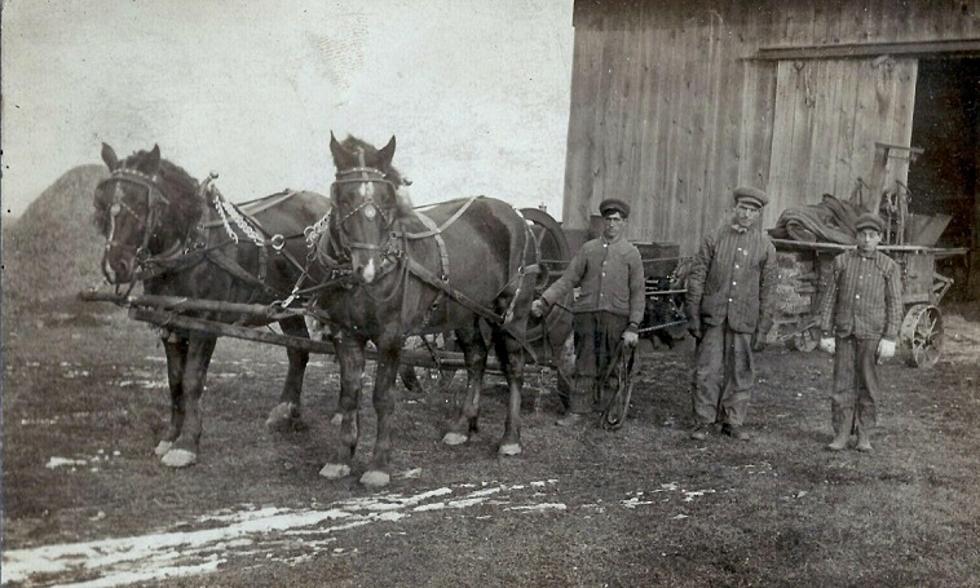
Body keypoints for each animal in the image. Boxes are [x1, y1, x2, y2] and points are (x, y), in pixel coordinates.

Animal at [95, 144, 334, 468]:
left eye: (140, 201)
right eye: (104, 201)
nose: (114, 266)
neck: (191, 247)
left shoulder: (204, 323)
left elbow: (193, 380)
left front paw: (186, 444)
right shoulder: (171, 322)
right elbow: (175, 381)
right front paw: (169, 437)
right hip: (288, 303)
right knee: (299, 350)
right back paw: (286, 411)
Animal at [314, 136, 540, 490]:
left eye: (387, 198)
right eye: (345, 196)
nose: (368, 268)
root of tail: (518, 217)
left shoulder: (391, 337)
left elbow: (383, 396)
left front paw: (378, 465)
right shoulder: (345, 335)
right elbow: (350, 394)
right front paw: (340, 458)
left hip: (513, 311)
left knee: (514, 367)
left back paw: (510, 439)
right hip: (464, 312)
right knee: (476, 358)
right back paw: (462, 426)